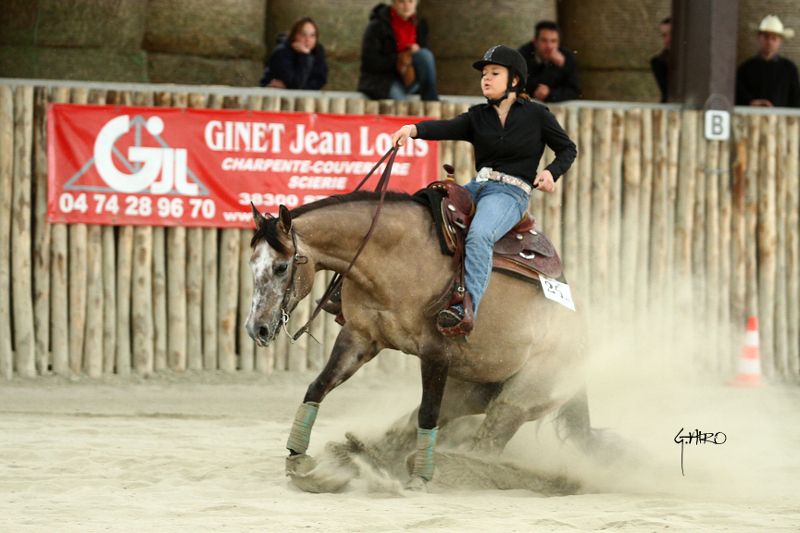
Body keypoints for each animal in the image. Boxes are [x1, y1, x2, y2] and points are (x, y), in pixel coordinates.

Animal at [247, 191, 592, 490]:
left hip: (520, 399)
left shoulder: (436, 352)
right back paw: (362, 454)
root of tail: (580, 336)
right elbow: (318, 387)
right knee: (428, 420)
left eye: (281, 267)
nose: (256, 329)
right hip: (469, 388)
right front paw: (296, 457)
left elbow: (428, 412)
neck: (396, 255)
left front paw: (421, 479)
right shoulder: (359, 337)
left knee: (487, 443)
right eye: (252, 265)